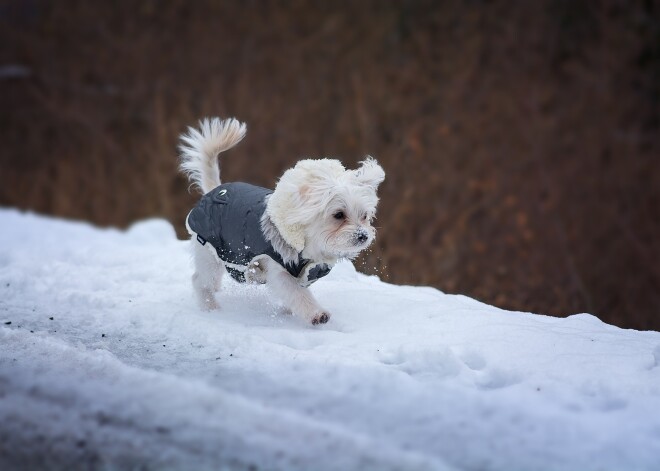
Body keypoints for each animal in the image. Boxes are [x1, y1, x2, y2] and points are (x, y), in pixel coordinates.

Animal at [179, 118, 386, 324]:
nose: (363, 236)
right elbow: (297, 294)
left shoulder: (304, 274)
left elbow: (294, 295)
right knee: (200, 281)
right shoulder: (279, 270)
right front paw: (316, 313)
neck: (309, 245)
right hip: (210, 253)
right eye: (339, 215)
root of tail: (213, 191)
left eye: (364, 216)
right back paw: (210, 307)